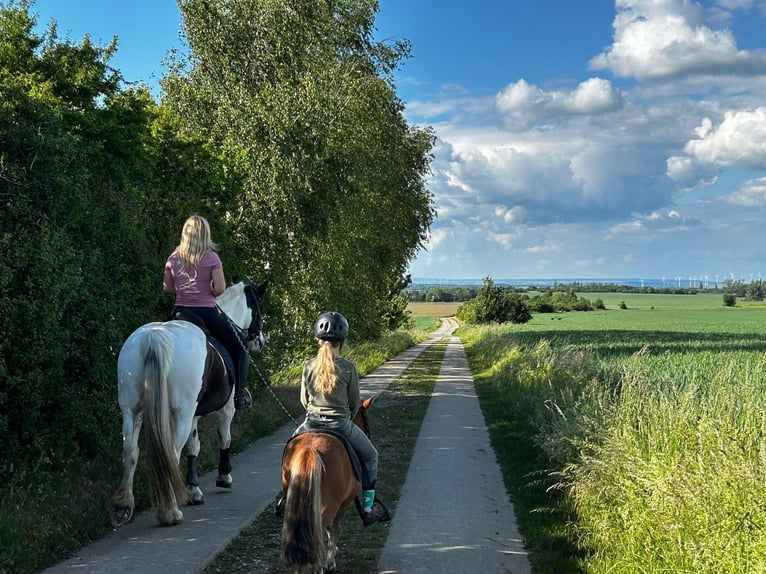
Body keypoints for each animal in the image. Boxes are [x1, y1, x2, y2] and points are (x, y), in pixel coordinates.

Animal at [109, 282, 268, 528]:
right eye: (258, 308)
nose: (260, 341)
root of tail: (154, 337)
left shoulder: (192, 414)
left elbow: (194, 446)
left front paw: (194, 490)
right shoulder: (224, 410)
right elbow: (224, 437)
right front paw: (224, 477)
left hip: (131, 410)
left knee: (130, 450)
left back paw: (124, 506)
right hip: (181, 414)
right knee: (172, 452)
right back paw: (170, 512)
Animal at [280, 398, 376, 572]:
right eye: (367, 420)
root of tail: (311, 448)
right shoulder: (345, 502)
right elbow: (335, 528)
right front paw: (330, 560)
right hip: (332, 503)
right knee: (318, 529)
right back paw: (319, 566)